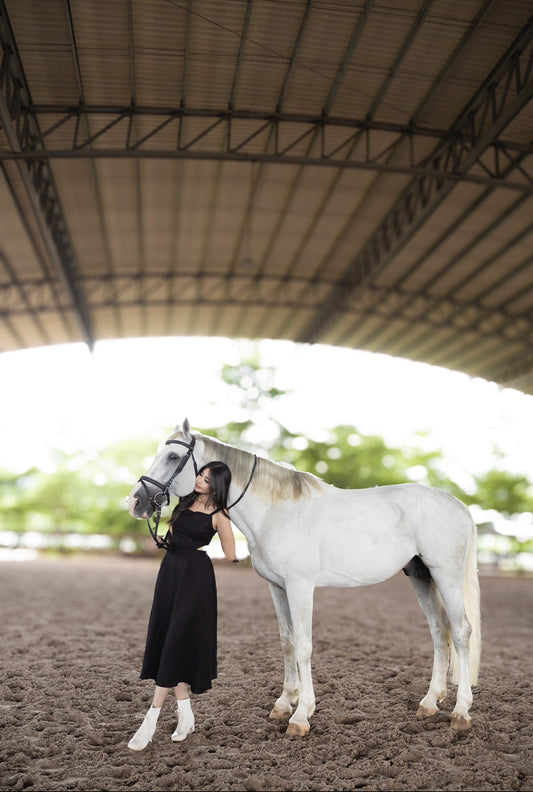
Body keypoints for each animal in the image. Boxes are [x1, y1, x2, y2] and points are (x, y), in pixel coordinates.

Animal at [128, 420, 478, 736]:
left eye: (173, 457)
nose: (136, 501)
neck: (275, 511)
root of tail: (459, 505)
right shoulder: (277, 587)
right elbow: (287, 642)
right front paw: (284, 705)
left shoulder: (300, 586)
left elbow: (304, 645)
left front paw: (301, 716)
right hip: (421, 576)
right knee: (439, 632)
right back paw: (429, 703)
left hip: (445, 575)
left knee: (461, 631)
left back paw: (461, 712)